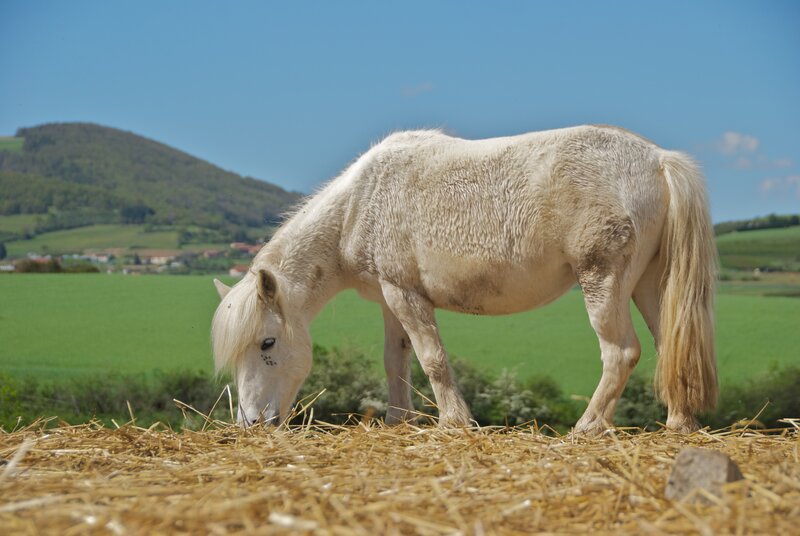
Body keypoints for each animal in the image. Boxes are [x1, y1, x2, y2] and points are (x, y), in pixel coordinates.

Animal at [211, 125, 718, 434]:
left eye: (267, 343)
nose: (250, 423)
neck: (359, 202)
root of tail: (659, 160)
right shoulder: (391, 298)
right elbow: (396, 362)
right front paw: (398, 421)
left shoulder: (406, 296)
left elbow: (433, 360)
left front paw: (454, 421)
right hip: (648, 283)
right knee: (668, 345)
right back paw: (679, 424)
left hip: (605, 281)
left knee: (621, 353)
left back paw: (587, 426)